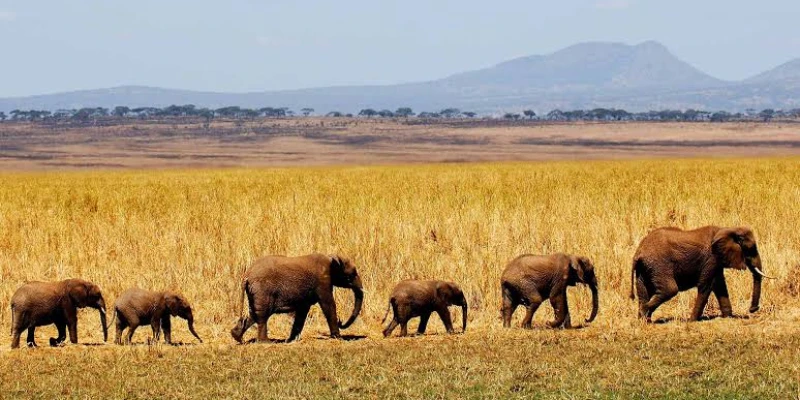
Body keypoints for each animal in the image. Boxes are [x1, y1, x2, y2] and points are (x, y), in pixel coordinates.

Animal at [230, 253, 364, 343]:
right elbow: (328, 304)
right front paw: (338, 338)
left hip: (255, 292)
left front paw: (291, 340)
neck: (331, 257)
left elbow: (303, 311)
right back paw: (266, 342)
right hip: (263, 290)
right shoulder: (322, 281)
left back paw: (237, 337)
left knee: (254, 314)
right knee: (262, 315)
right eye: (351, 276)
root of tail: (247, 275)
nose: (341, 322)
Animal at [630, 226, 773, 322]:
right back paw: (645, 312)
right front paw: (691, 321)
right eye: (750, 249)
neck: (728, 229)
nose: (753, 309)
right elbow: (706, 286)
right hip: (658, 265)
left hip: (645, 268)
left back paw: (644, 320)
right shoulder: (711, 259)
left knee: (643, 291)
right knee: (670, 289)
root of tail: (638, 252)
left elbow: (720, 285)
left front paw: (729, 317)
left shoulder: (717, 261)